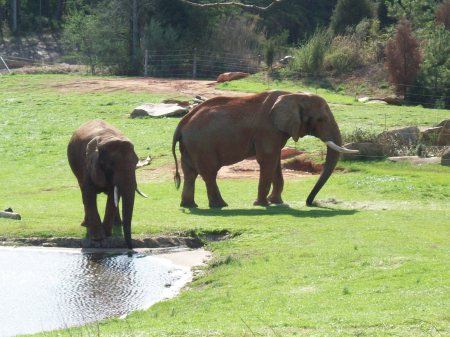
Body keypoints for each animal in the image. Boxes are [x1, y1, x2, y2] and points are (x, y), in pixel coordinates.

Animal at [67, 119, 147, 248]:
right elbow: (89, 194)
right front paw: (97, 238)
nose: (130, 249)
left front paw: (107, 234)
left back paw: (118, 224)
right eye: (111, 164)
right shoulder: (88, 165)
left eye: (136, 163)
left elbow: (112, 197)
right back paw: (86, 224)